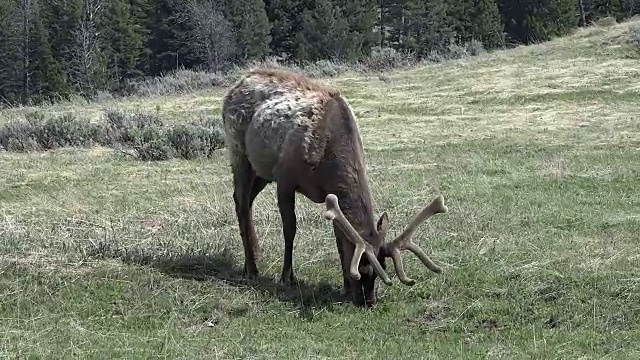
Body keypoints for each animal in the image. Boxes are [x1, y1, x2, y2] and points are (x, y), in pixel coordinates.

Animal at [222, 68, 448, 306]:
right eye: (362, 269)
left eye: (383, 268)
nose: (369, 301)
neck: (326, 160)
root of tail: (237, 84)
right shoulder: (285, 176)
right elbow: (290, 229)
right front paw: (287, 277)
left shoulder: (330, 195)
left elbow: (340, 237)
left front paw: (345, 288)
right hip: (239, 153)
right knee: (240, 200)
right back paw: (251, 267)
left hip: (261, 170)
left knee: (246, 201)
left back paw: (257, 253)